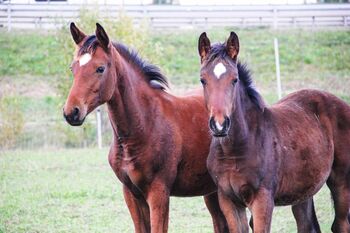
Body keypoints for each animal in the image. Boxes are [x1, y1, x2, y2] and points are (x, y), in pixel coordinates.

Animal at [62, 23, 230, 233]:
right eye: (73, 68)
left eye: (100, 68)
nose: (71, 112)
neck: (144, 125)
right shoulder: (131, 194)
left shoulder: (159, 193)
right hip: (211, 190)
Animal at [197, 31, 350, 232]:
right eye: (203, 80)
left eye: (234, 79)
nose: (220, 125)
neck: (235, 150)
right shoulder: (228, 200)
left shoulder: (262, 199)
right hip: (303, 190)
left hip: (341, 182)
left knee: (341, 224)